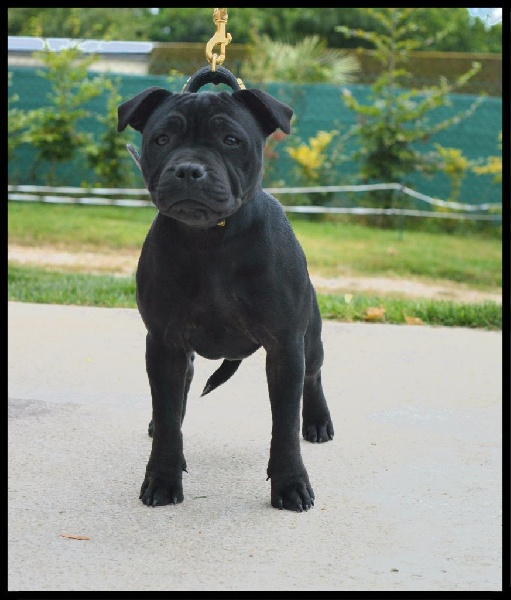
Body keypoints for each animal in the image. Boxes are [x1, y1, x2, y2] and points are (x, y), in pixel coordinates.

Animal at [117, 86, 334, 512]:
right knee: (178, 396)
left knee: (314, 376)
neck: (211, 239)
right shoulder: (164, 343)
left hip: (310, 340)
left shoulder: (286, 346)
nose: (188, 169)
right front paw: (163, 477)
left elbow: (285, 424)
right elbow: (167, 417)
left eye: (231, 140)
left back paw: (318, 422)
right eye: (161, 139)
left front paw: (290, 484)